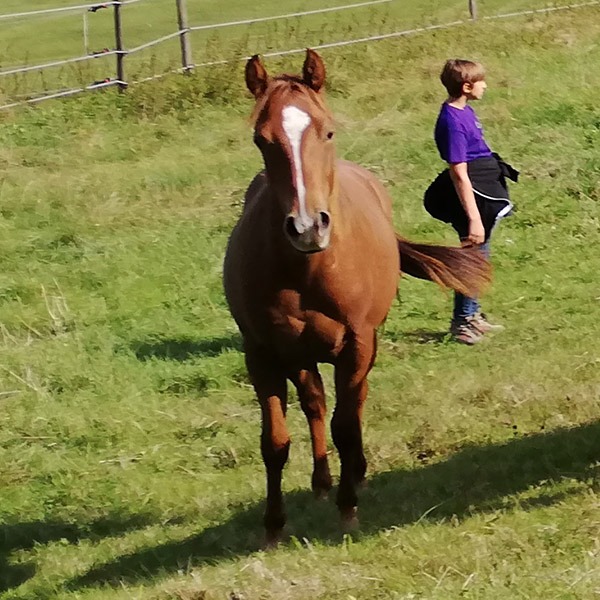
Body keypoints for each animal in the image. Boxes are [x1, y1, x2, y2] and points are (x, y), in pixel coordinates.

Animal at [223, 48, 490, 544]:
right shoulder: (262, 354)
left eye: (327, 130)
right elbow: (275, 441)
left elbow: (347, 425)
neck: (307, 269)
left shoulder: (357, 343)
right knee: (314, 403)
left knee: (353, 402)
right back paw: (322, 482)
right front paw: (273, 526)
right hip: (300, 353)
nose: (308, 226)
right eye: (261, 139)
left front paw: (349, 509)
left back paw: (356, 475)